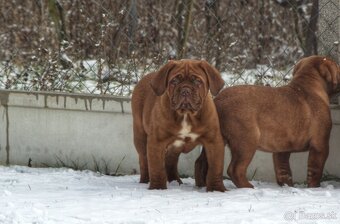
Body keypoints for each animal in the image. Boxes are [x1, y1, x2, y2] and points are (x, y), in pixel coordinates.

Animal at [132, 59, 226, 191]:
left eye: (197, 81)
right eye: (174, 81)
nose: (185, 90)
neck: (186, 114)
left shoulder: (213, 141)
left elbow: (215, 167)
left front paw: (216, 189)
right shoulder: (157, 141)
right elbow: (156, 168)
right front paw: (157, 188)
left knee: (171, 161)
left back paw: (175, 181)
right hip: (140, 135)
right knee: (144, 159)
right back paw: (145, 181)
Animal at [197, 55, 340, 188]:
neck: (308, 85)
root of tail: (218, 100)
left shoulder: (282, 148)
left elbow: (283, 170)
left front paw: (287, 186)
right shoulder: (320, 145)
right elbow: (315, 170)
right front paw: (314, 188)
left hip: (215, 140)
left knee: (202, 163)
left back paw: (202, 184)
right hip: (247, 141)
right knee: (235, 169)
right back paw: (248, 187)